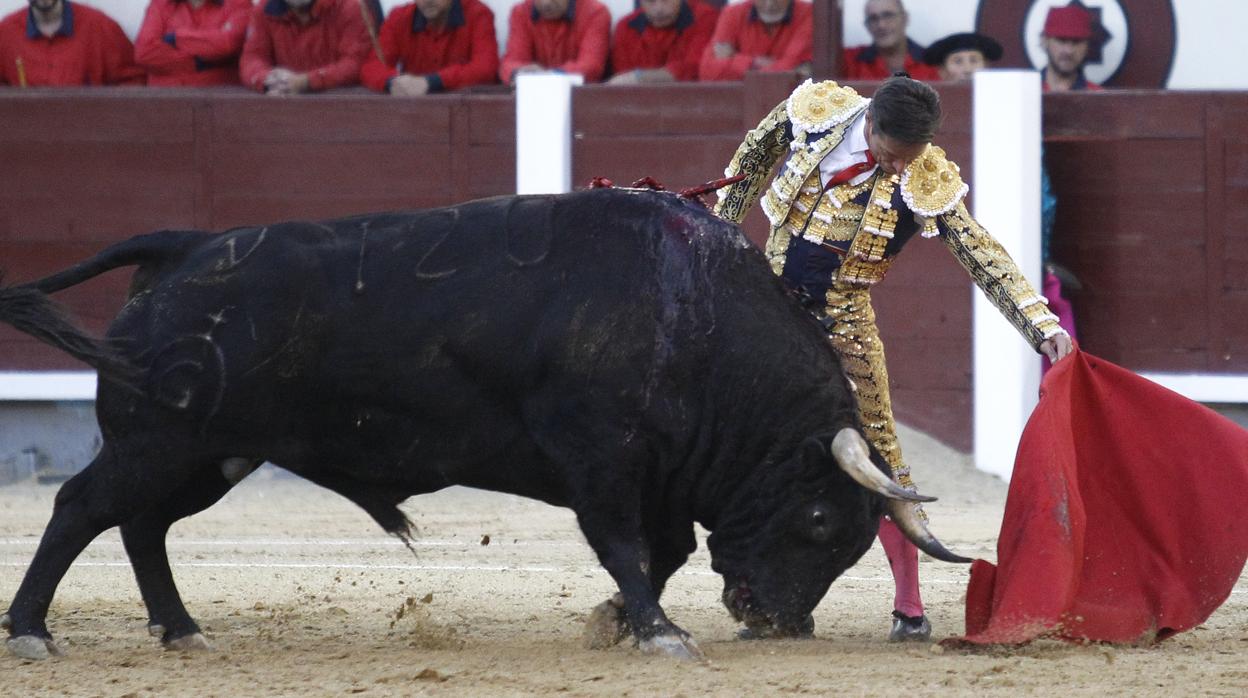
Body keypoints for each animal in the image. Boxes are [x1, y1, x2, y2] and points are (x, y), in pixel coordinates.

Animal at [0, 187, 963, 659]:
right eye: (818, 518)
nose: (780, 621)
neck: (691, 315)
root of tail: (182, 246)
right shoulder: (601, 461)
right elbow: (628, 547)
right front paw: (658, 632)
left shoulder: (655, 473)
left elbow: (665, 549)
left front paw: (619, 622)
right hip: (158, 442)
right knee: (80, 509)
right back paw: (34, 632)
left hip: (209, 455)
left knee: (142, 526)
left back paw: (181, 629)